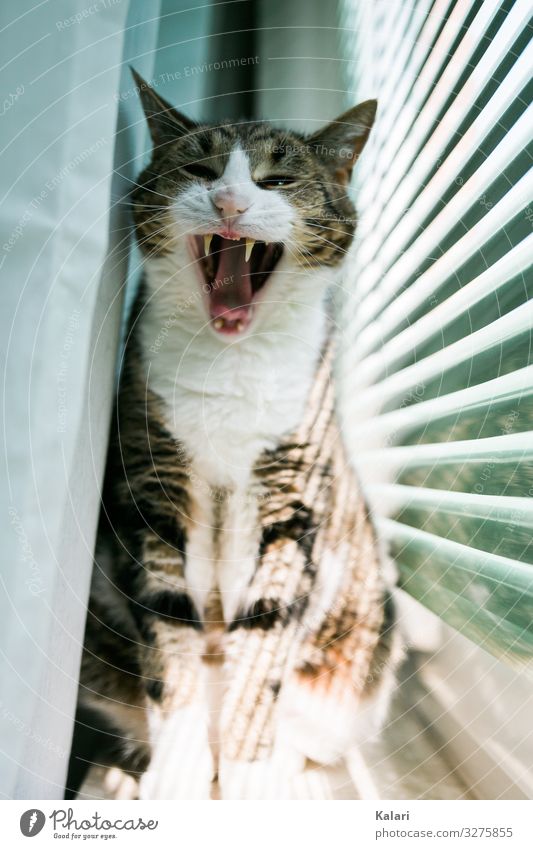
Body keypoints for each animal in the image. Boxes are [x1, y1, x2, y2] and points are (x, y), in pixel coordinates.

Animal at [66, 69, 400, 800]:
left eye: (278, 179)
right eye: (198, 168)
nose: (228, 199)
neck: (230, 360)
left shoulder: (290, 495)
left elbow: (266, 635)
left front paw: (247, 776)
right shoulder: (152, 484)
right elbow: (169, 634)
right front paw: (178, 775)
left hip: (361, 650)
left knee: (309, 732)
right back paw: (121, 775)